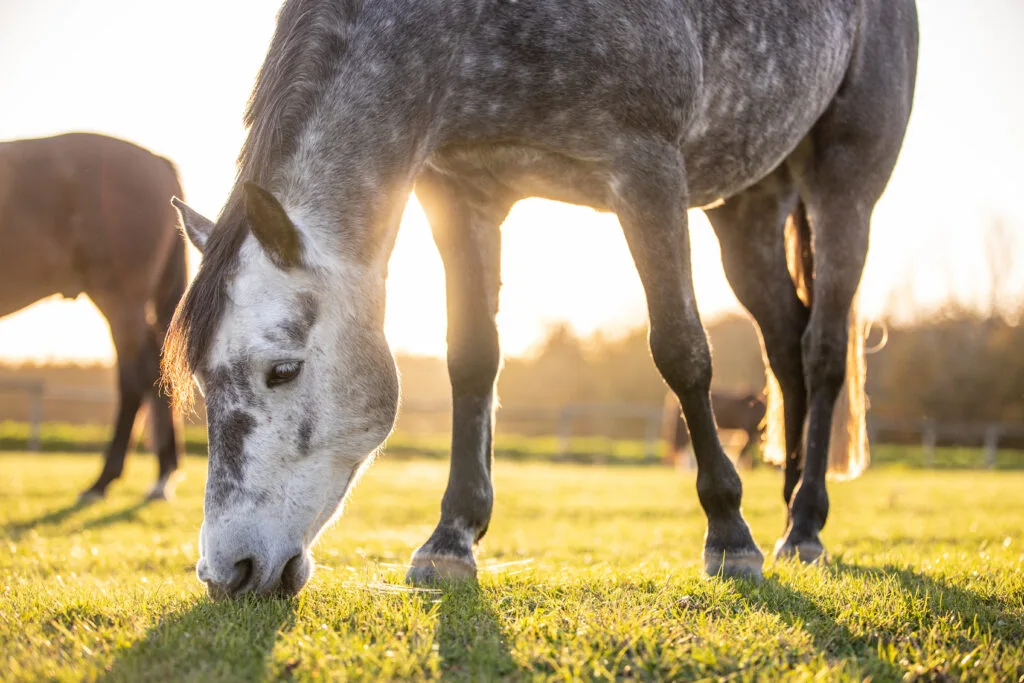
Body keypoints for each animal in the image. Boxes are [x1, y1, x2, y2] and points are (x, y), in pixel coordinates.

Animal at [164, 0, 918, 597]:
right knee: (785, 345)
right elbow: (473, 359)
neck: (468, 24)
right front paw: (451, 539)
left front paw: (729, 535)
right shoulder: (460, 192)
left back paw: (805, 524)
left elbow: (680, 351)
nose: (227, 570)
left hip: (843, 181)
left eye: (282, 370)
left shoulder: (647, 170)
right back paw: (791, 501)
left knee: (821, 350)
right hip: (749, 205)